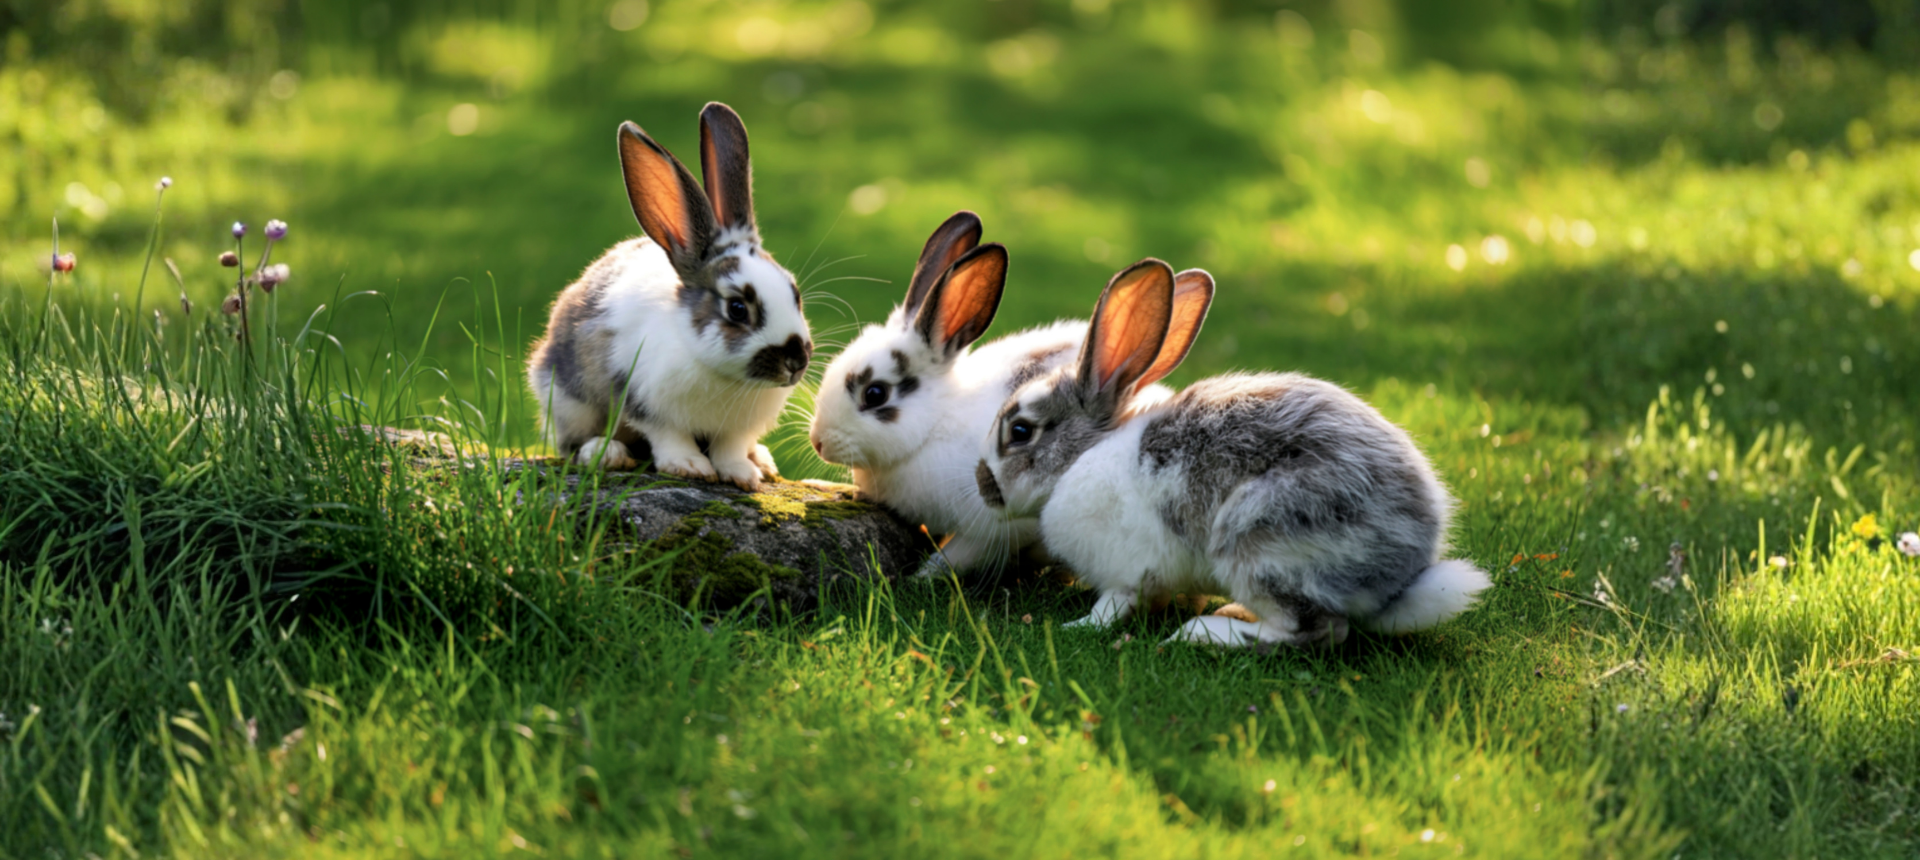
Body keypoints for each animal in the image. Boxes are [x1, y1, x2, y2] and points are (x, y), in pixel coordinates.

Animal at [528, 102, 812, 492]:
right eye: (737, 308)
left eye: (794, 294)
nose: (796, 362)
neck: (724, 376)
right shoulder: (645, 401)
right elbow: (669, 437)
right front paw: (689, 467)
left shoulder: (736, 428)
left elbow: (730, 446)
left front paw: (742, 474)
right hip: (567, 400)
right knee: (570, 443)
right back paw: (606, 453)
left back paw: (761, 459)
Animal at [807, 212, 1191, 577]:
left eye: (875, 393)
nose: (818, 442)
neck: (936, 423)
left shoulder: (998, 524)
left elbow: (961, 554)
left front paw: (921, 576)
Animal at [974, 258, 1491, 648]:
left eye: (1020, 430)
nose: (982, 485)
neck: (1082, 458)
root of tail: (1401, 576)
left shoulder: (1127, 571)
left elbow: (1113, 605)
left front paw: (1077, 625)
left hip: (1260, 544)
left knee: (1316, 630)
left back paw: (1205, 633)